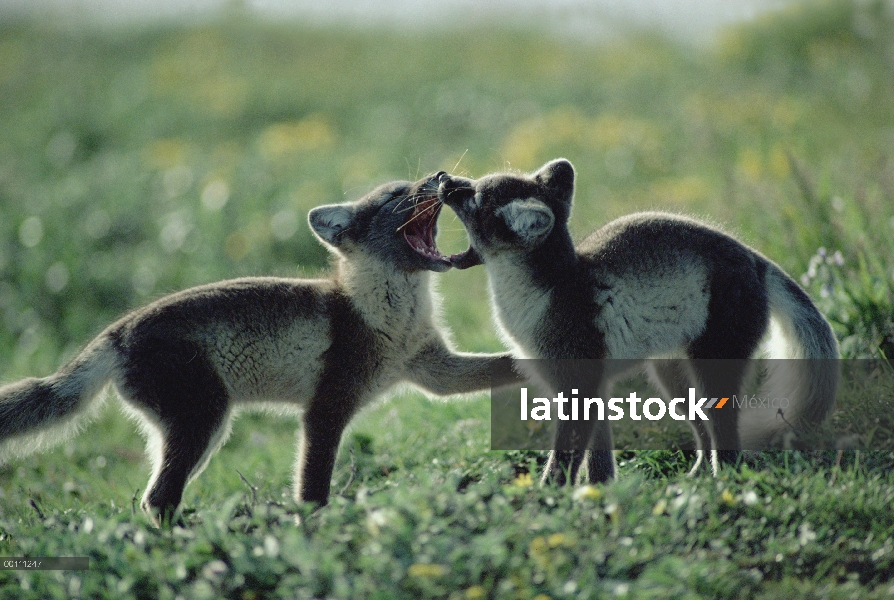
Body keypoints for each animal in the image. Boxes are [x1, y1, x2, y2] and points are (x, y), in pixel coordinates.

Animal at [0, 171, 508, 524]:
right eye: (395, 196)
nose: (441, 175)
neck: (391, 316)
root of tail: (116, 331)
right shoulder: (326, 409)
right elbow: (312, 488)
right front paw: (315, 530)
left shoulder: (433, 370)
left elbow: (500, 367)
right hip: (205, 420)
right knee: (156, 500)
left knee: (154, 498)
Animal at [440, 158, 840, 482]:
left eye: (476, 197)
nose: (442, 177)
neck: (551, 289)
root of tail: (756, 259)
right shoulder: (592, 386)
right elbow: (598, 458)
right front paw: (599, 496)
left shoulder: (578, 383)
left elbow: (566, 456)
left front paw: (549, 499)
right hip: (672, 375)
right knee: (705, 431)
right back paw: (696, 477)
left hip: (713, 364)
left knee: (726, 438)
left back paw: (722, 481)